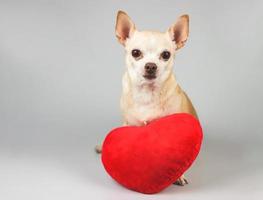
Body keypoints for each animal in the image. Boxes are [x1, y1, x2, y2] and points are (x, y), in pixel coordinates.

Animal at [96, 10, 198, 186]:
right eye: (135, 53)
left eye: (166, 55)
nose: (151, 65)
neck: (147, 93)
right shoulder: (129, 124)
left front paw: (179, 175)